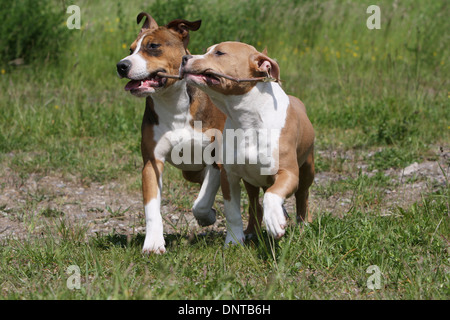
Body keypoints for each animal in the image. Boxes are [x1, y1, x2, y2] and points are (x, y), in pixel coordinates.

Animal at [181, 41, 314, 244]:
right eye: (206, 51)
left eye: (219, 53)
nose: (184, 58)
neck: (246, 119)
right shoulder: (229, 176)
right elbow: (233, 212)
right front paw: (234, 241)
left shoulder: (288, 173)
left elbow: (272, 195)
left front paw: (275, 220)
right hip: (251, 181)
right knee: (254, 204)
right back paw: (252, 231)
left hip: (307, 169)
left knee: (302, 195)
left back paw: (303, 224)